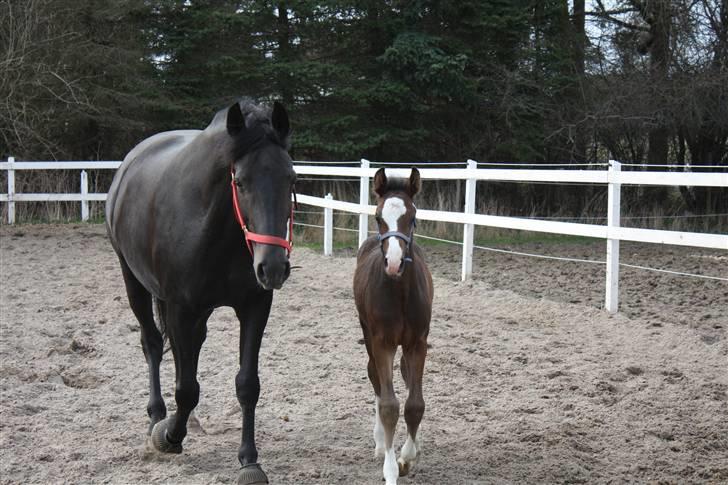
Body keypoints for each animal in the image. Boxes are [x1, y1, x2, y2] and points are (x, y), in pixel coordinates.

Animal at [104, 99, 296, 484]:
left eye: (291, 179)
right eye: (240, 181)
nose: (272, 267)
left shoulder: (255, 305)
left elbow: (247, 384)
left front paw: (249, 460)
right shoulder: (181, 308)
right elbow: (186, 387)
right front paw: (169, 437)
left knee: (187, 351)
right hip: (135, 282)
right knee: (153, 344)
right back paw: (157, 417)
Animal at [352, 168, 432, 482]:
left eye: (413, 217)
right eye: (378, 217)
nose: (394, 263)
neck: (399, 293)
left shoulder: (417, 343)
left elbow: (414, 404)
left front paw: (407, 457)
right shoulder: (381, 342)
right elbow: (388, 405)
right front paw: (390, 469)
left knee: (407, 377)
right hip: (368, 335)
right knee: (374, 376)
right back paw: (378, 444)